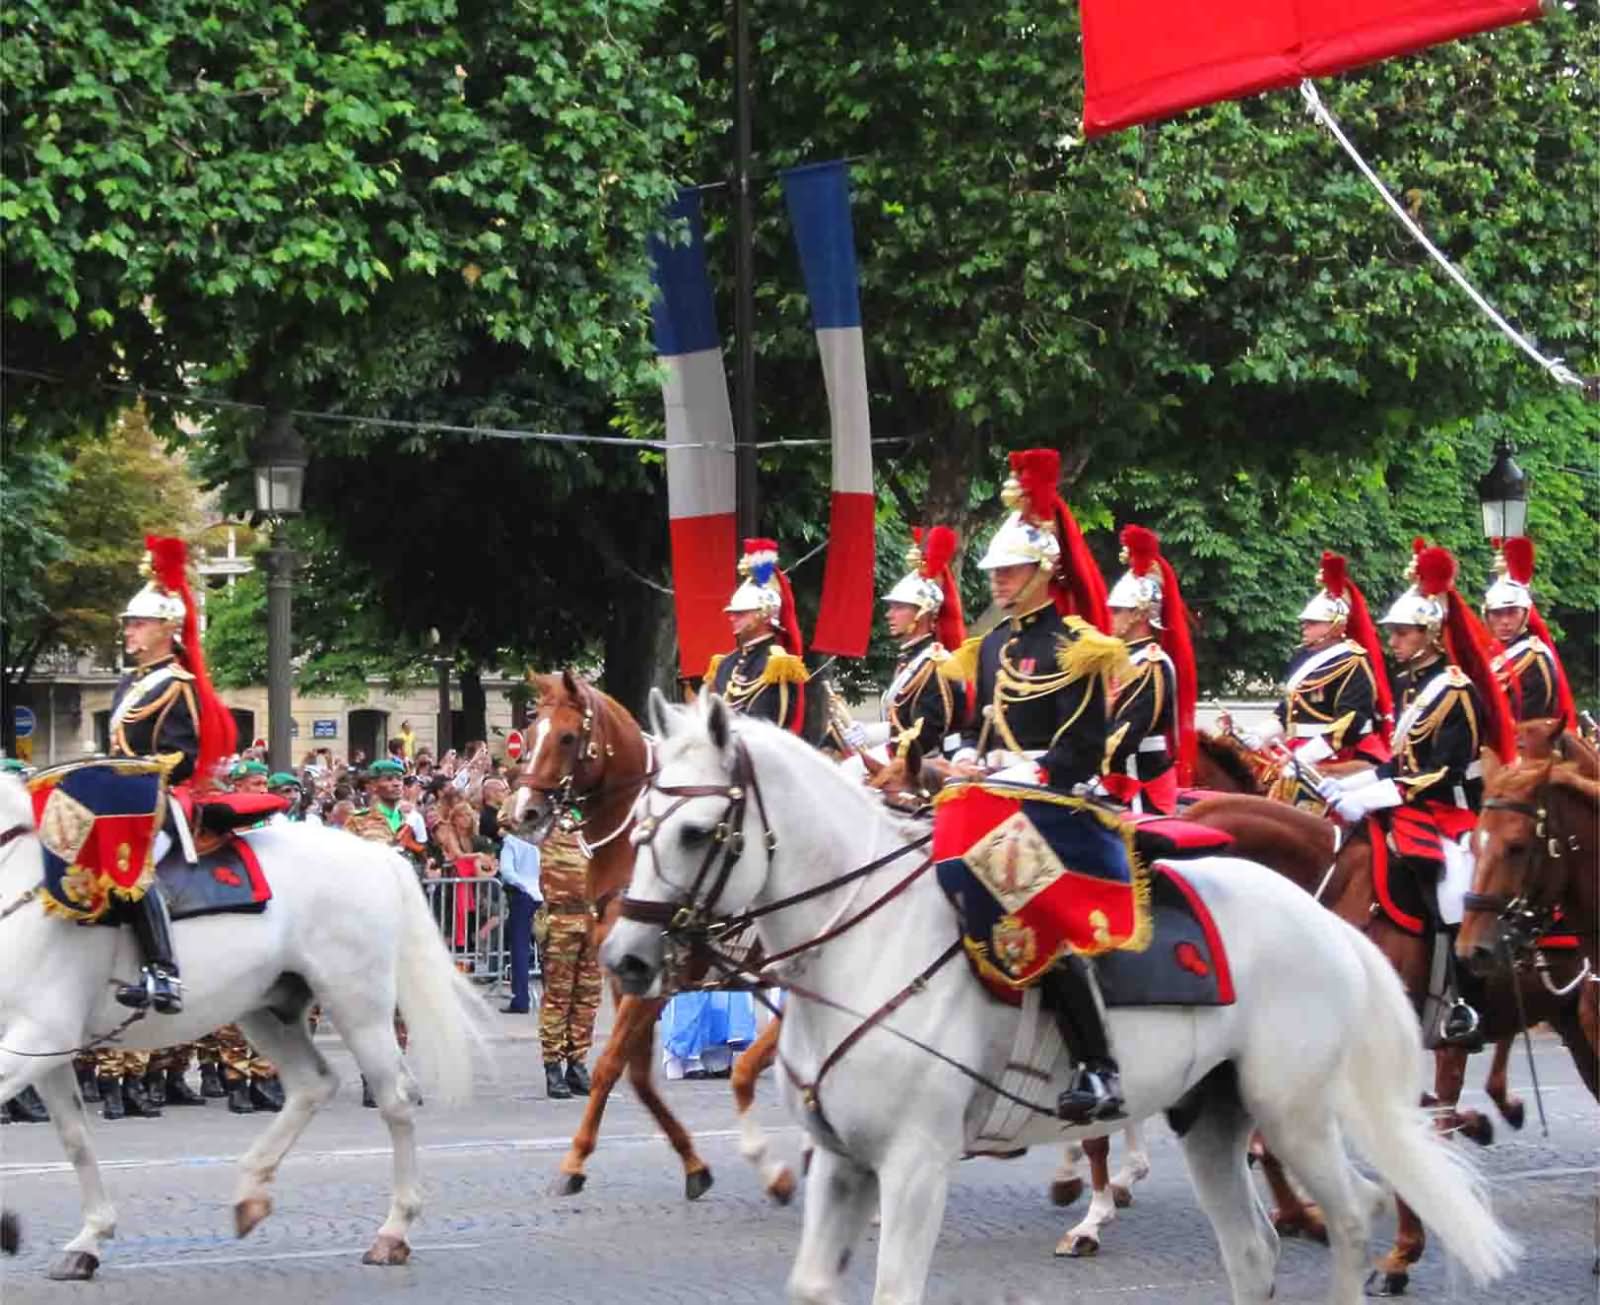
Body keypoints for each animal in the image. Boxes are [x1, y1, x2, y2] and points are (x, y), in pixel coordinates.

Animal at [0, 774, 492, 1273]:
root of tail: (377, 855)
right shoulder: (45, 1048)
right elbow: (75, 1137)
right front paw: (87, 1237)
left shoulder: (41, 1034)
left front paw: (15, 1227)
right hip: (268, 1009)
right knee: (314, 1083)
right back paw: (250, 1193)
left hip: (358, 1004)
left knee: (395, 1099)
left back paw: (393, 1230)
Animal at [512, 671, 787, 1202]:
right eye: (530, 734)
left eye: (568, 737)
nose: (524, 813)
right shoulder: (626, 978)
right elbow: (636, 1074)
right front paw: (693, 1163)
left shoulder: (660, 978)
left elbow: (607, 1066)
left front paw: (574, 1161)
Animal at [601, 697, 1523, 1305]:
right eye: (639, 821)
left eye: (694, 832)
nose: (626, 958)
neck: (861, 944)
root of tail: (1322, 916)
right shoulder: (843, 1162)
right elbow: (810, 1283)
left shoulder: (915, 1165)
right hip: (1212, 1117)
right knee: (1253, 1250)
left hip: (1293, 1111)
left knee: (1357, 1211)